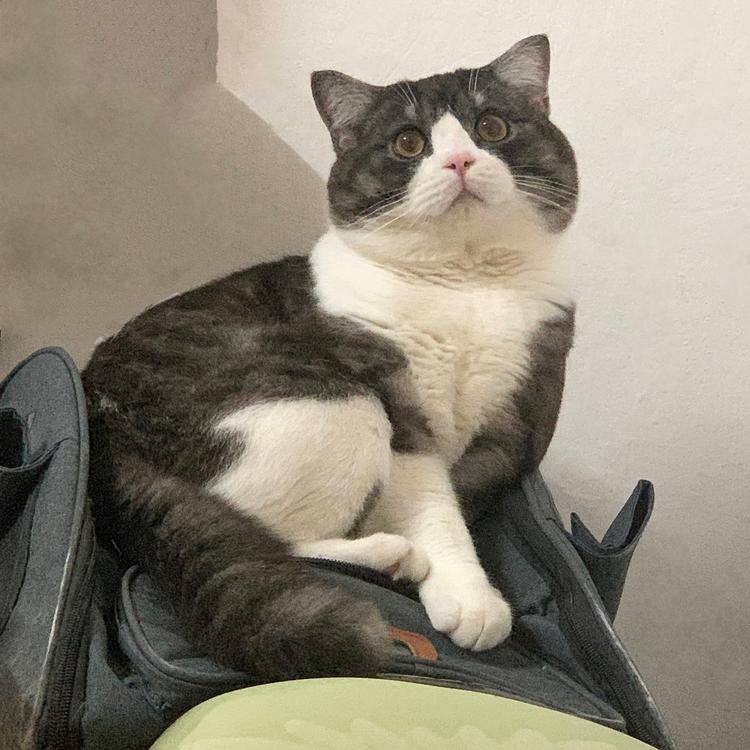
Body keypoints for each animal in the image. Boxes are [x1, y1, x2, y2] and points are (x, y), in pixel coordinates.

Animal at [82, 34, 577, 682]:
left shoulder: (513, 429)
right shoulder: (395, 403)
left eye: (492, 127)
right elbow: (434, 504)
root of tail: (98, 419)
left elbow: (459, 493)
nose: (460, 162)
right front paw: (468, 595)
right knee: (260, 532)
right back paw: (388, 553)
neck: (465, 279)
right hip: (335, 400)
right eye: (408, 143)